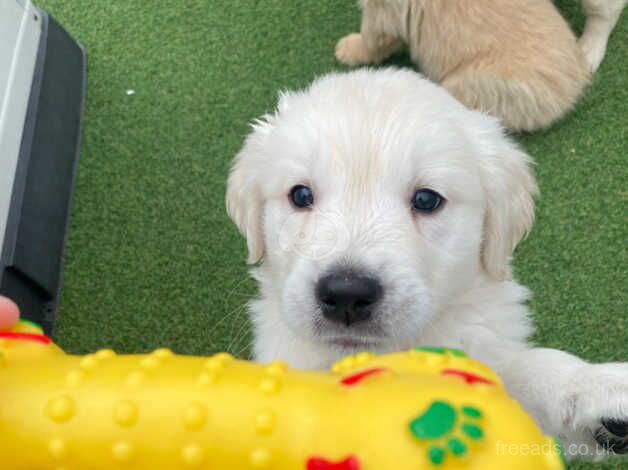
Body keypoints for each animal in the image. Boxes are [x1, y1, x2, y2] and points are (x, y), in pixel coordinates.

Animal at [338, 0, 628, 131]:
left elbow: (371, 38)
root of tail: (577, 81)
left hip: (469, 84)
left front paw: (348, 50)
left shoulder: (383, 11)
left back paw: (590, 49)